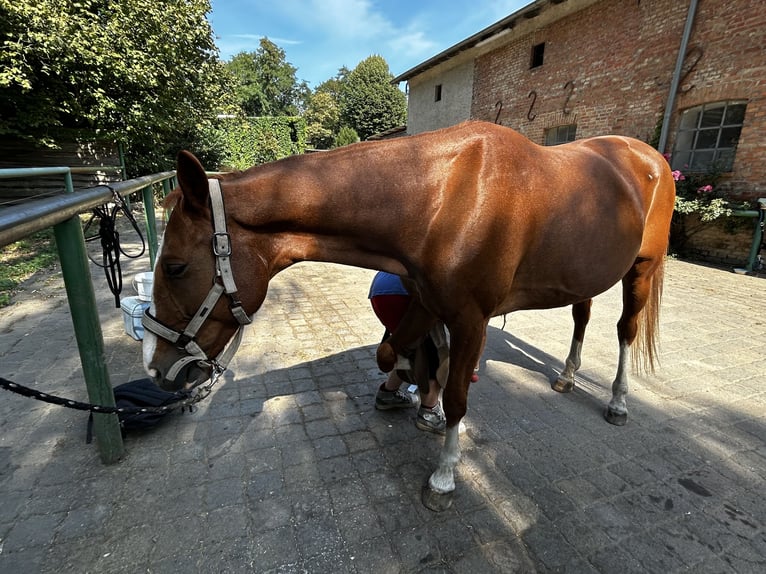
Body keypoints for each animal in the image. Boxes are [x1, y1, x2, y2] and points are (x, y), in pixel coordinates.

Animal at [141, 121, 676, 512]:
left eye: (175, 266)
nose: (159, 367)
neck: (447, 196)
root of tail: (651, 158)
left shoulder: (471, 319)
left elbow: (457, 398)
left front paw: (443, 474)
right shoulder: (426, 302)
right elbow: (390, 350)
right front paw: (413, 385)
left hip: (642, 268)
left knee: (625, 331)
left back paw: (618, 401)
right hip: (587, 275)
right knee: (582, 316)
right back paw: (566, 376)